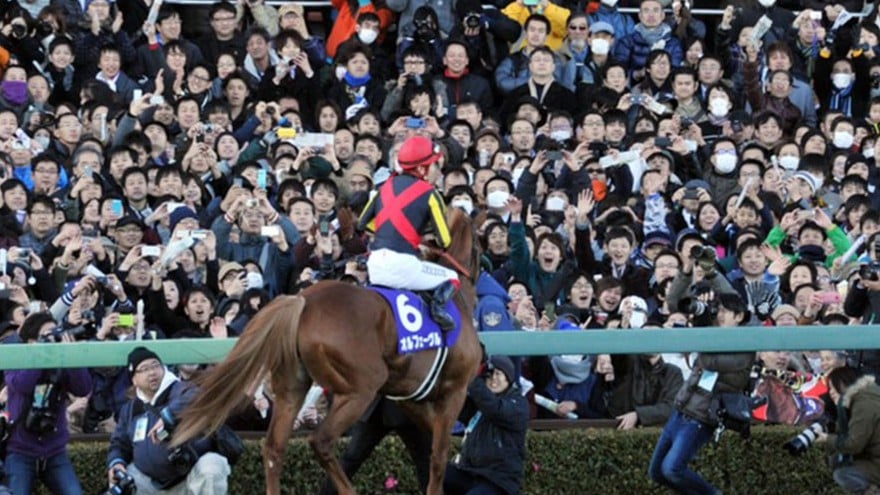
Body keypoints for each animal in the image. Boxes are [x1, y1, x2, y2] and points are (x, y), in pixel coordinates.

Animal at [171, 208, 482, 495]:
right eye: (479, 244)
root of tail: (302, 301)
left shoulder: (408, 395)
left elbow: (431, 444)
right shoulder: (454, 390)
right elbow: (438, 456)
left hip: (292, 387)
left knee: (273, 448)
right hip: (359, 390)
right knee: (321, 441)